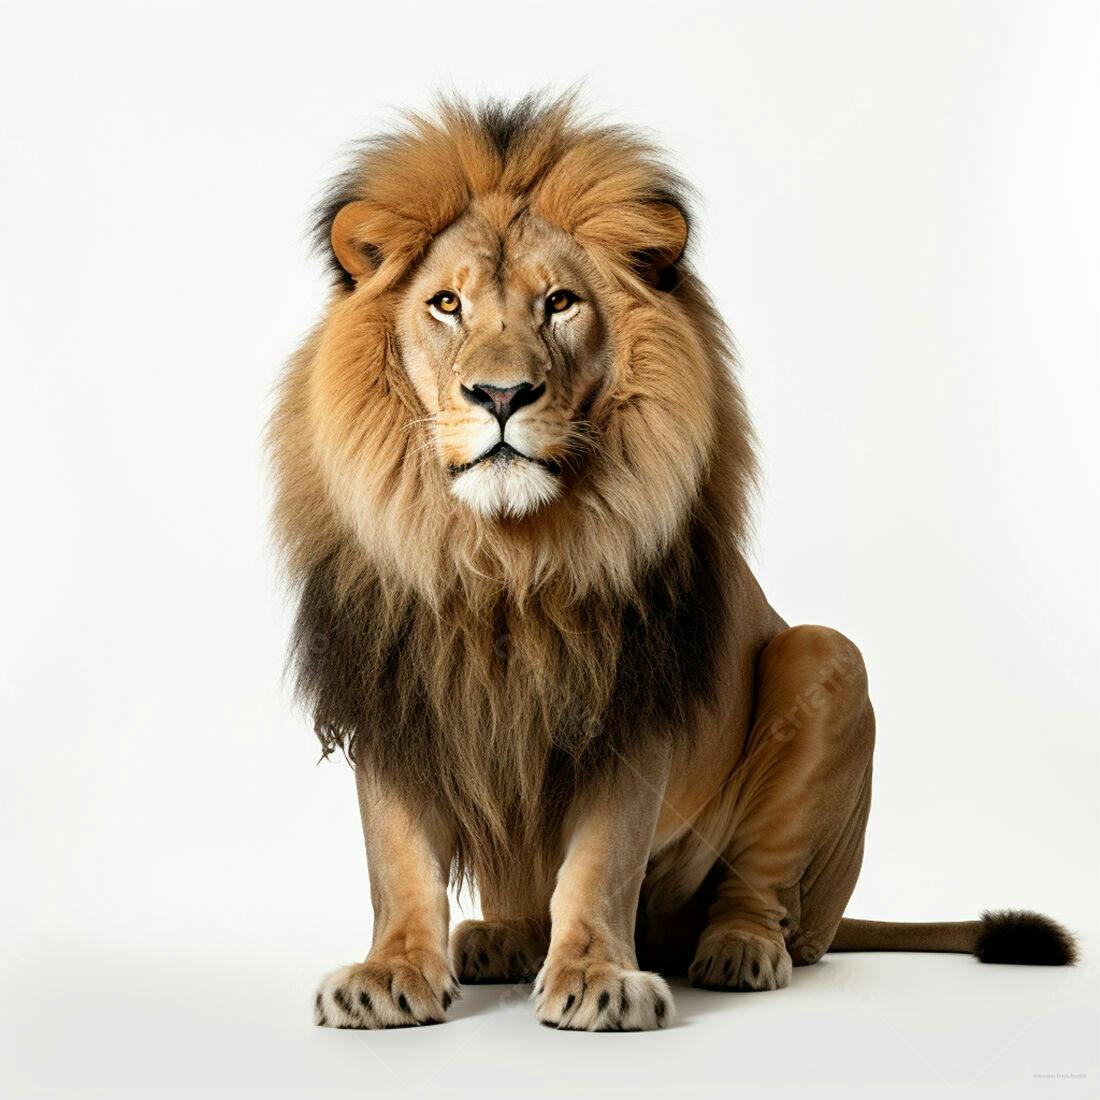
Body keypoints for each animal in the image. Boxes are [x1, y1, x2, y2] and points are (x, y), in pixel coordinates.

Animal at [269, 94, 1076, 1032]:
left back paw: (738, 951)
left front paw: (595, 979)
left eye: (559, 303)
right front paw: (391, 972)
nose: (501, 395)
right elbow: (397, 858)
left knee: (768, 895)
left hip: (827, 659)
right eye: (444, 303)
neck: (502, 561)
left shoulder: (632, 700)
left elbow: (601, 861)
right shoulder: (391, 684)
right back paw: (501, 937)